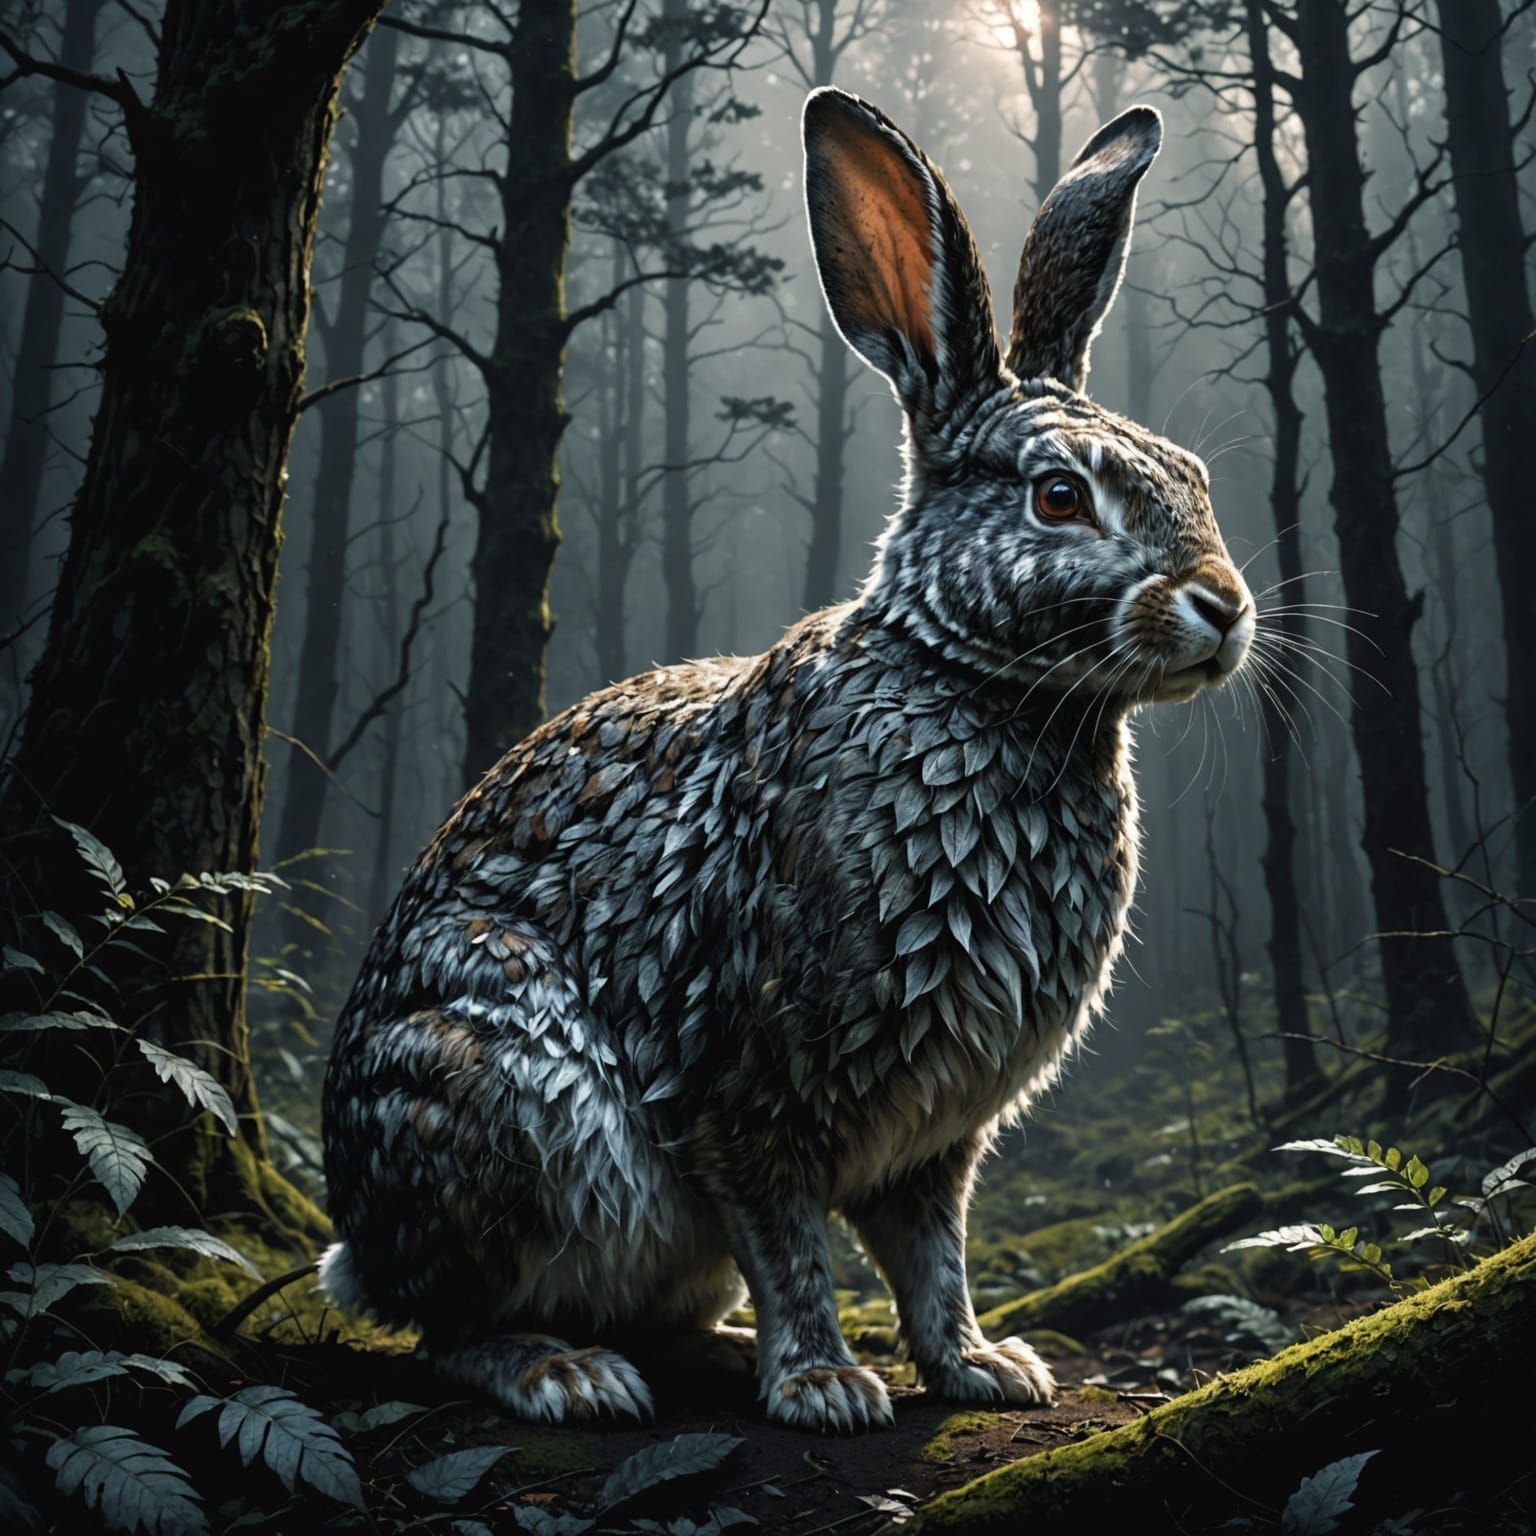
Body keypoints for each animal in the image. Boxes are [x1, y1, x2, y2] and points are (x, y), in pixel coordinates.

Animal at [320, 87, 1255, 1435]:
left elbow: (931, 1251)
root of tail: (353, 1232)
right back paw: (564, 1373)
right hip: (496, 1100)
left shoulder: (938, 1134)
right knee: (450, 1317)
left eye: (1191, 475)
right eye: (1058, 498)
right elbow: (791, 1241)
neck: (976, 686)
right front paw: (825, 1386)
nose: (1224, 607)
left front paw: (983, 1368)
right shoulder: (746, 1084)